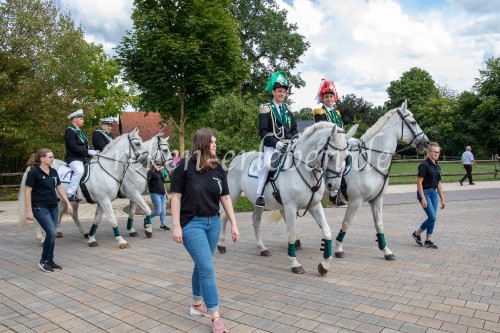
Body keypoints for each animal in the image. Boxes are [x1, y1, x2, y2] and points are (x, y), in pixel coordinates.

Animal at [20, 128, 148, 248]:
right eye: (137, 143)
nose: (146, 160)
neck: (107, 169)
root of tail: (33, 167)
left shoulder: (103, 201)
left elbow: (97, 220)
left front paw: (91, 239)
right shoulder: (107, 200)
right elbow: (113, 219)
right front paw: (121, 241)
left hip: (61, 199)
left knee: (65, 214)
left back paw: (73, 233)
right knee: (37, 218)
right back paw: (42, 238)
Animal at [217, 123, 354, 274]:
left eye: (346, 157)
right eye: (330, 156)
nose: (334, 185)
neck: (304, 170)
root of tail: (237, 158)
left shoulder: (315, 206)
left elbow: (327, 231)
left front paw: (324, 265)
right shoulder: (290, 207)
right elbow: (292, 234)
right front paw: (295, 264)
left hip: (259, 203)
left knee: (256, 220)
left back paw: (262, 248)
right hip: (233, 194)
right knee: (224, 216)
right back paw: (221, 244)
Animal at [332, 100, 430, 260]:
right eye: (413, 122)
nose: (427, 142)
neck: (371, 161)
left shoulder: (377, 200)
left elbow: (379, 224)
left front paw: (386, 251)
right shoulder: (355, 201)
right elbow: (346, 223)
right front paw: (339, 249)